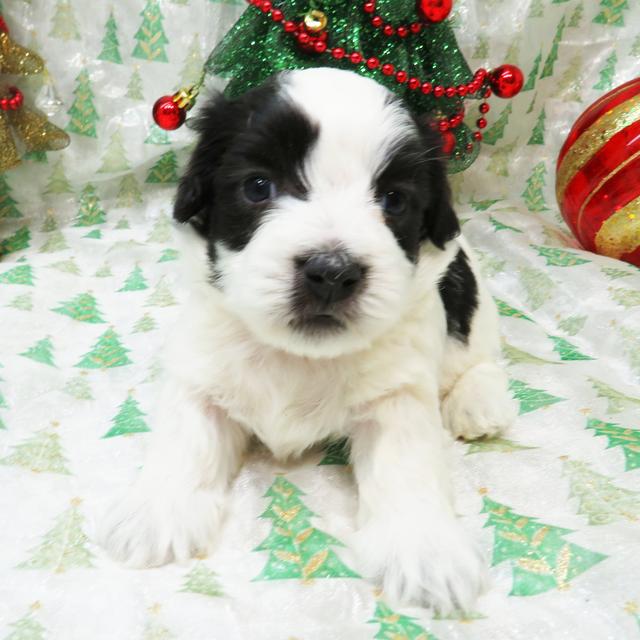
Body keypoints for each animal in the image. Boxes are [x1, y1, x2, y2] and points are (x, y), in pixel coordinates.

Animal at [102, 67, 516, 612]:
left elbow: (409, 462)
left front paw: (426, 548)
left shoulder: (398, 393)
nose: (332, 273)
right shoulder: (202, 369)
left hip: (468, 298)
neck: (297, 356)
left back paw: (478, 402)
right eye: (258, 186)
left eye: (394, 201)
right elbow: (185, 434)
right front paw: (157, 509)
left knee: (480, 354)